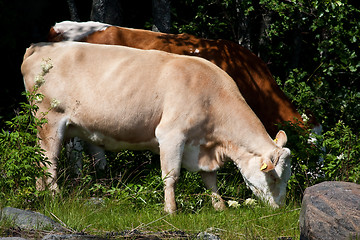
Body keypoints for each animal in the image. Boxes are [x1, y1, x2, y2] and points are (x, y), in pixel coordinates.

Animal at [21, 41, 292, 214]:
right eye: (273, 176)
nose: (281, 208)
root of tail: (39, 47)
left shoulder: (203, 146)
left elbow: (210, 179)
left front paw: (220, 206)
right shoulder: (172, 135)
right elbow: (171, 176)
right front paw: (171, 210)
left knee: (39, 159)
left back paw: (39, 195)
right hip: (50, 118)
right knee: (50, 161)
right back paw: (54, 197)